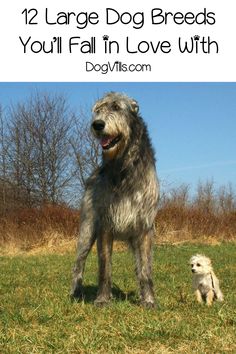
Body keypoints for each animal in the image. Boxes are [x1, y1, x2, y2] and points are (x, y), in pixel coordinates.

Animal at [70, 92, 159, 306]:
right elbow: (105, 267)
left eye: (117, 107)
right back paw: (76, 292)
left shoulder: (144, 227)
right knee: (78, 263)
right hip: (86, 230)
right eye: (98, 110)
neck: (123, 166)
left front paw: (149, 300)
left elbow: (145, 269)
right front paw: (102, 299)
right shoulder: (105, 224)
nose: (97, 124)